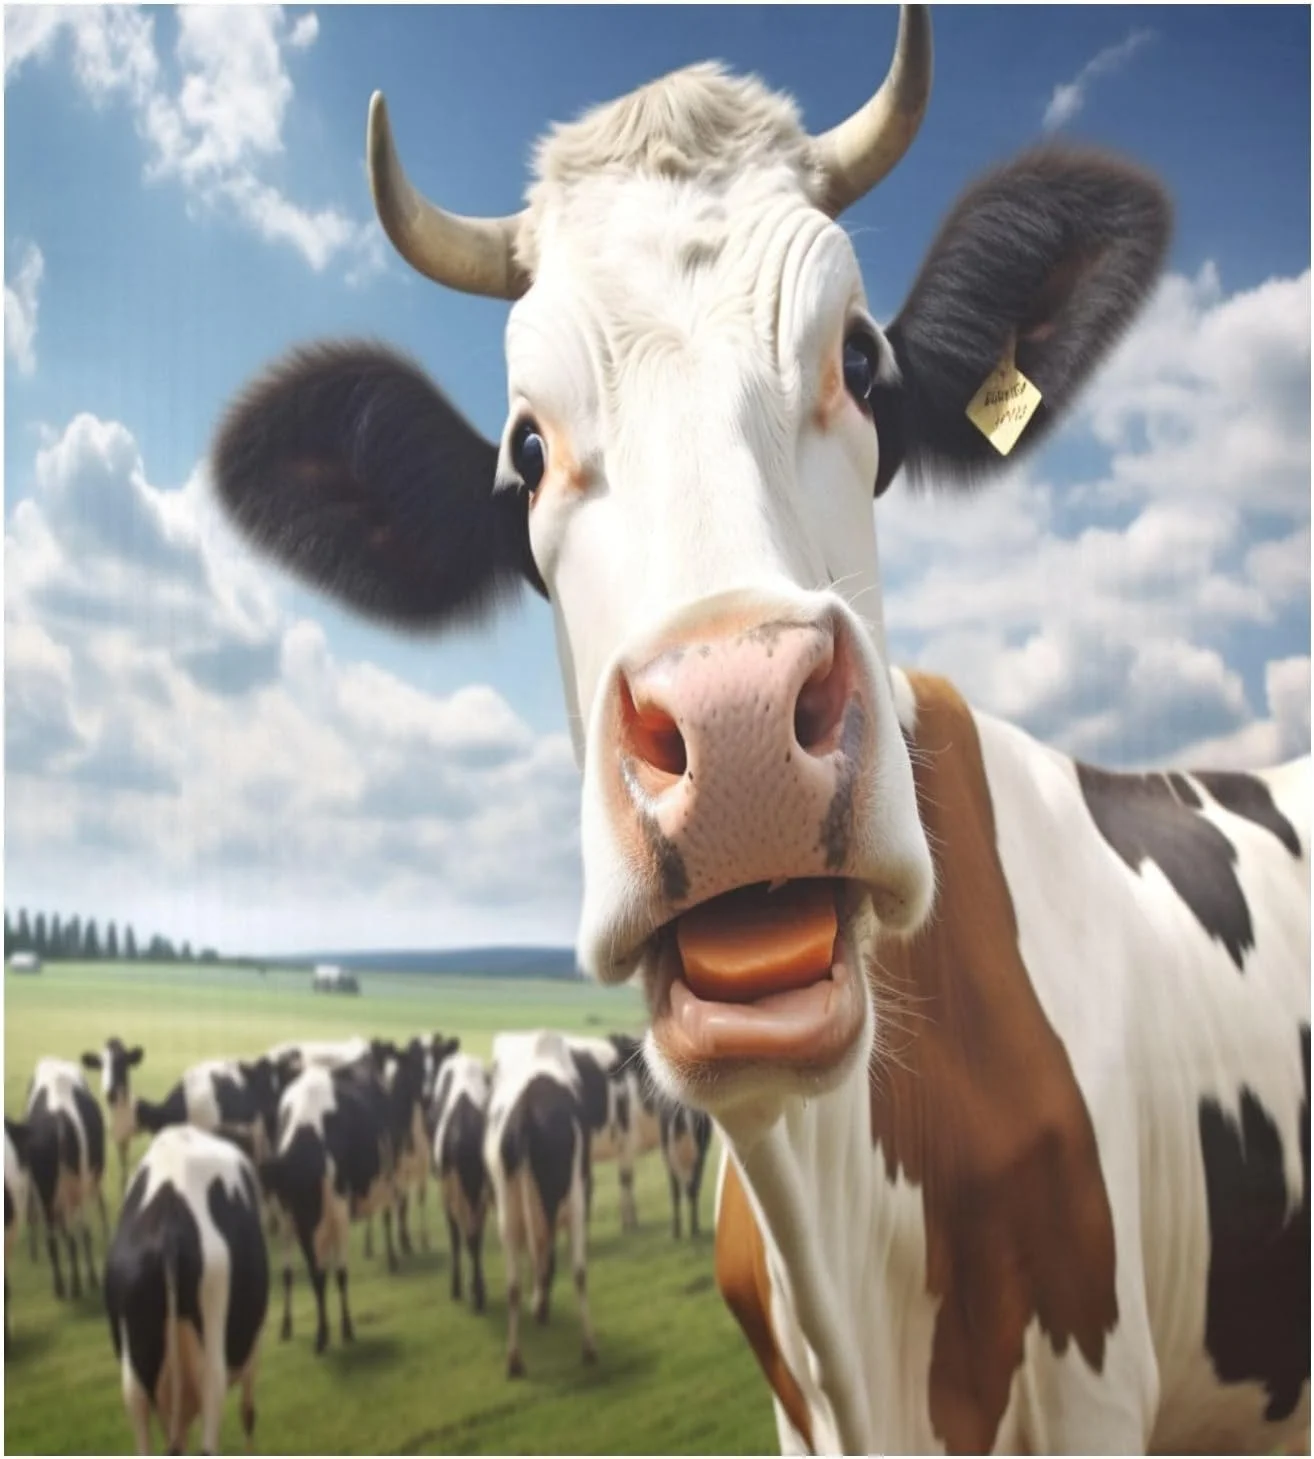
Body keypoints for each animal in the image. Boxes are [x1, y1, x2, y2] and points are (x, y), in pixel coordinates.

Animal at [24, 1057, 108, 1301]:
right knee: (75, 1233)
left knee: (59, 1236)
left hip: (48, 1185)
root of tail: (59, 1116)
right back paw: (81, 1282)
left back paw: (63, 1286)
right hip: (74, 1183)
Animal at [104, 1124, 268, 1456]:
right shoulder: (254, 1341)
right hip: (213, 1344)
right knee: (212, 1407)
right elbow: (248, 1411)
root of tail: (169, 1221)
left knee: (140, 1414)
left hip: (136, 1376)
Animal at [261, 1064, 397, 1352]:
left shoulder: (337, 1213)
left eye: (310, 1187)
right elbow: (301, 1275)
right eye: (288, 1191)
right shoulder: (289, 1217)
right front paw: (298, 1328)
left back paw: (393, 1258)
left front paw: (344, 1328)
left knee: (388, 1213)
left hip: (387, 1171)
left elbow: (339, 1274)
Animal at [485, 1032, 596, 1376]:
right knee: (575, 1269)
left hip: (509, 1210)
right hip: (574, 1199)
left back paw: (515, 1359)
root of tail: (528, 1111)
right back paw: (585, 1346)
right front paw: (541, 1306)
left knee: (515, 1282)